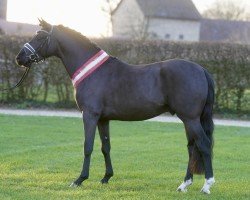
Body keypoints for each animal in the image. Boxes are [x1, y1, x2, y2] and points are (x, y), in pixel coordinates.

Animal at [15, 19, 215, 195]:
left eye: (40, 37)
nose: (19, 57)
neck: (93, 72)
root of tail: (201, 70)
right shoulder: (103, 119)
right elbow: (106, 147)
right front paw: (106, 177)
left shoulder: (90, 115)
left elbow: (88, 146)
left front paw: (80, 179)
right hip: (188, 120)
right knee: (192, 148)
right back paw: (184, 185)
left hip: (190, 119)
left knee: (203, 144)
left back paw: (207, 185)